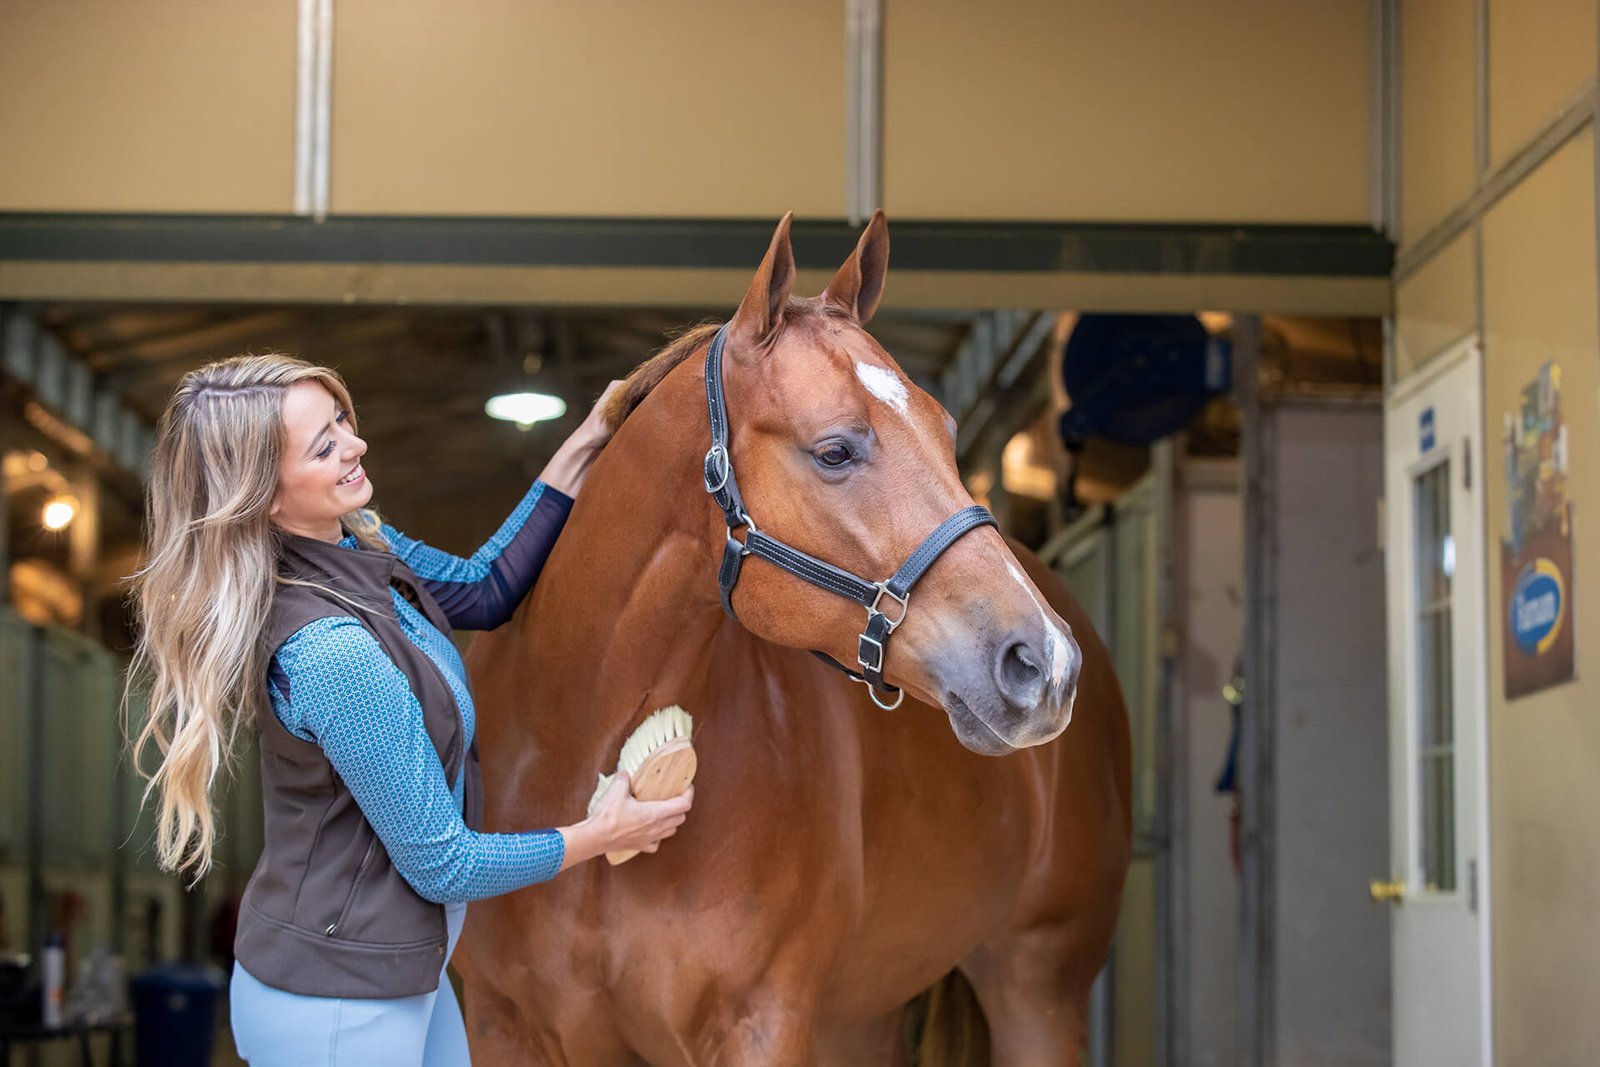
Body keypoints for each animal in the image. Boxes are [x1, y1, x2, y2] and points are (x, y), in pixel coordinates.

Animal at [454, 212, 1126, 1062]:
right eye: (835, 449)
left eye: (946, 432)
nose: (1045, 662)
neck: (577, 752)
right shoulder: (501, 1025)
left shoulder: (761, 1022)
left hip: (1037, 990)